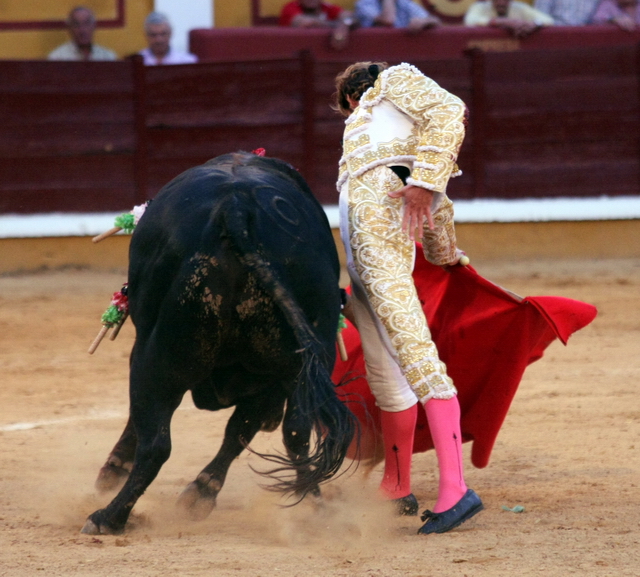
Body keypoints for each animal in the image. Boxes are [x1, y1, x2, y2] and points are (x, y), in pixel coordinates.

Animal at [81, 153, 356, 536]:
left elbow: (141, 420)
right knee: (296, 431)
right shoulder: (269, 381)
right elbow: (241, 430)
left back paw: (108, 517)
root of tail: (237, 208)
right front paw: (200, 494)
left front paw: (113, 470)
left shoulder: (143, 349)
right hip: (301, 361)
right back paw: (314, 504)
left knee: (157, 444)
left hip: (160, 356)